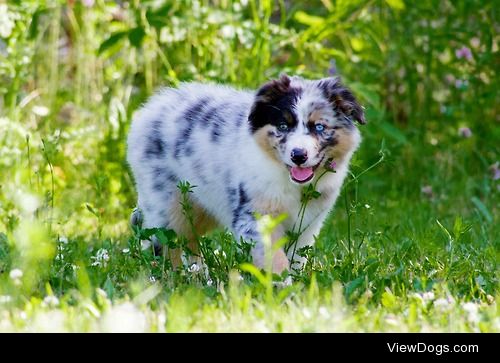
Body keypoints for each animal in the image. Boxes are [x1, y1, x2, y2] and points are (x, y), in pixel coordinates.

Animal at [127, 74, 366, 272]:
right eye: (283, 126)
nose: (298, 155)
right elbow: (274, 258)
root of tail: (148, 110)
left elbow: (297, 258)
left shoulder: (308, 223)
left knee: (189, 240)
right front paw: (281, 289)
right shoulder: (255, 215)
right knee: (167, 243)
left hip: (204, 205)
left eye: (319, 127)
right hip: (166, 203)